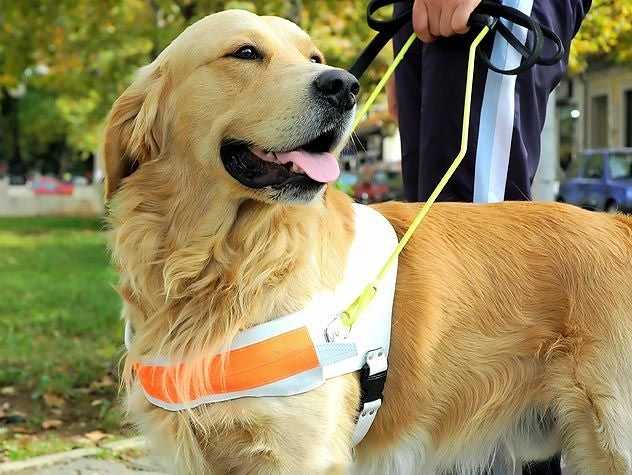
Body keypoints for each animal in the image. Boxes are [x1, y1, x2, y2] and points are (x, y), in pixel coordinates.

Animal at [103, 7, 632, 475]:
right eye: (245, 52)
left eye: (314, 57)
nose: (343, 85)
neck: (223, 263)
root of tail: (619, 224)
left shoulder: (302, 454)